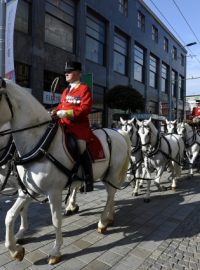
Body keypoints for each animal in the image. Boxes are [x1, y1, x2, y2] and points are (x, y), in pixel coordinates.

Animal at [0, 79, 130, 264]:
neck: (40, 143)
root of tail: (117, 132)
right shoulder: (28, 190)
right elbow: (10, 215)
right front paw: (15, 249)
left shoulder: (53, 192)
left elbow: (55, 220)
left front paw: (55, 251)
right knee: (111, 195)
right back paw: (109, 217)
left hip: (112, 173)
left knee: (110, 195)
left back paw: (102, 222)